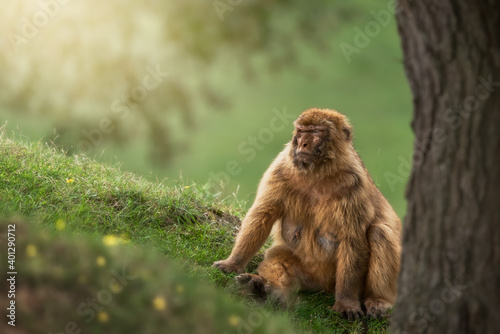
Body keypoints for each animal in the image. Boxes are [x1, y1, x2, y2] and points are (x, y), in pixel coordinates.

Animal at [212, 108, 402, 320]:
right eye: (302, 131)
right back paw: (264, 287)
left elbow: (352, 238)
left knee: (379, 233)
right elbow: (262, 215)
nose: (303, 143)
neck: (318, 172)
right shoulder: (280, 168)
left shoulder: (354, 183)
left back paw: (378, 300)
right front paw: (233, 263)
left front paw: (346, 301)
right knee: (278, 256)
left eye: (316, 132)